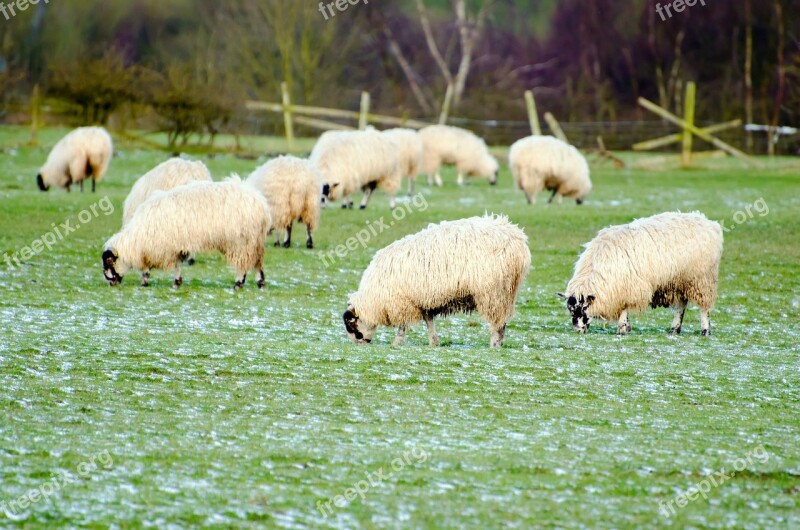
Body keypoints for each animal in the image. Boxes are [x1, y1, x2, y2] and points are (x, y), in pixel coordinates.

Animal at [102, 175, 272, 288]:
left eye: (108, 264)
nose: (111, 283)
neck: (137, 238)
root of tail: (260, 203)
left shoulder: (161, 247)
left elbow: (148, 268)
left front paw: (145, 280)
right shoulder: (175, 246)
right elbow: (177, 264)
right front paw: (177, 281)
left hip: (241, 241)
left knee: (244, 264)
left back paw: (238, 282)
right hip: (253, 241)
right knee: (258, 262)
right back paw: (260, 281)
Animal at [344, 212, 532, 348]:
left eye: (352, 327)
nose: (359, 345)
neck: (374, 299)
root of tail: (518, 239)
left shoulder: (402, 302)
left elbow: (403, 325)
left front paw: (397, 343)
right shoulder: (423, 301)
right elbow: (429, 322)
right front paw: (433, 342)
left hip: (494, 291)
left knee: (498, 322)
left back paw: (494, 344)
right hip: (506, 292)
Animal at [556, 210, 724, 334]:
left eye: (584, 308)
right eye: (570, 310)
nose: (578, 330)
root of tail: (709, 223)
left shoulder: (629, 288)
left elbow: (624, 309)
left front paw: (622, 329)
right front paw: (627, 327)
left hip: (702, 280)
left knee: (704, 308)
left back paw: (705, 330)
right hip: (681, 280)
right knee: (681, 305)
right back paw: (674, 329)